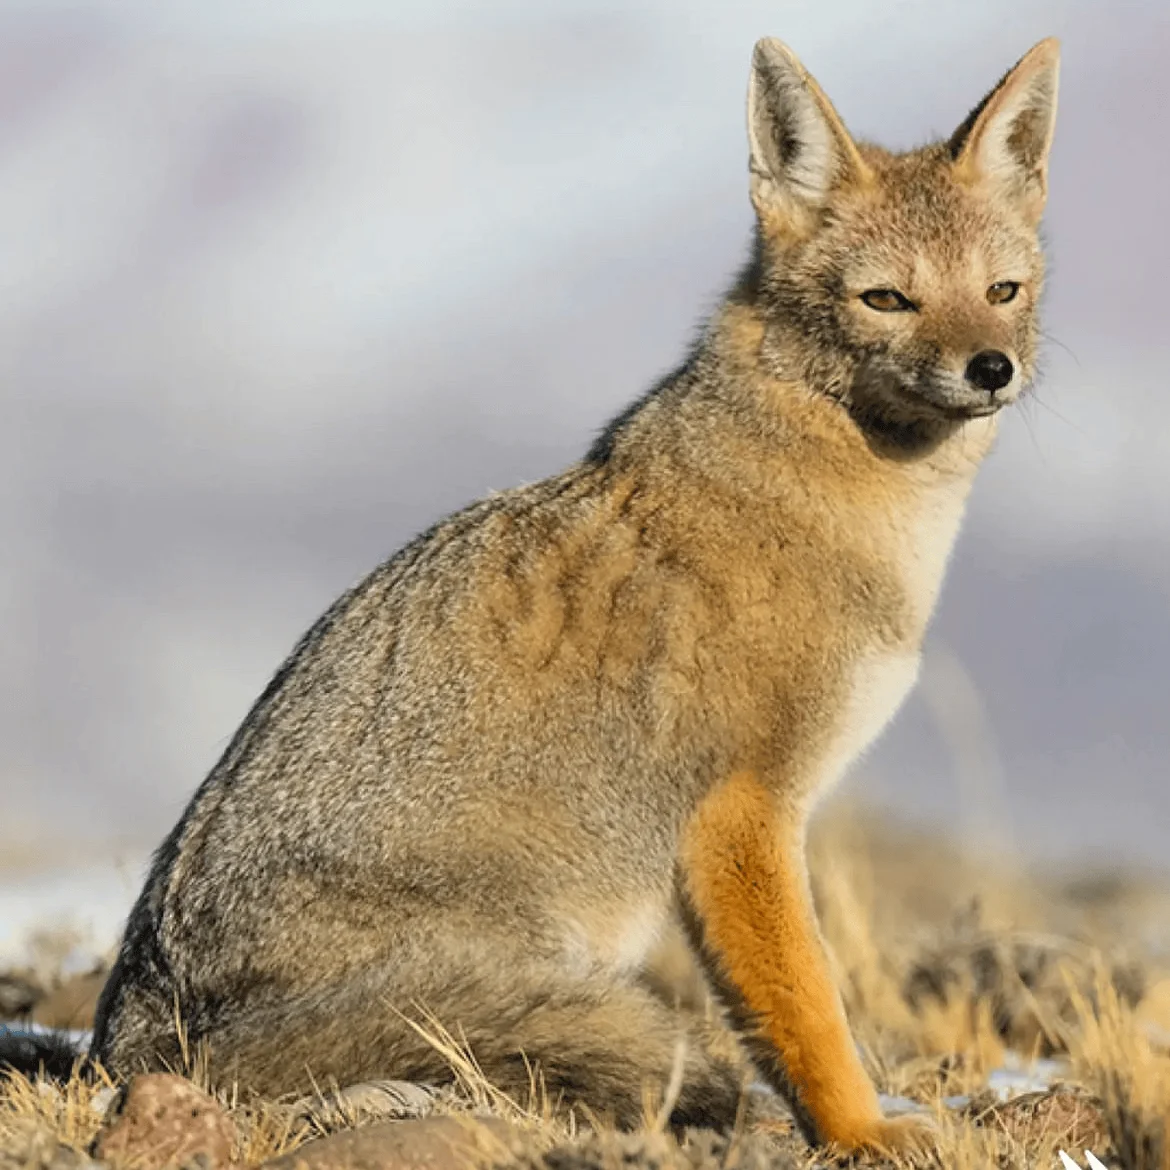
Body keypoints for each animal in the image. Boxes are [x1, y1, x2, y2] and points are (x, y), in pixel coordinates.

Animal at [15, 35, 1059, 1156]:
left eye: (1002, 289)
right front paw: (863, 1132)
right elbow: (809, 1010)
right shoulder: (742, 817)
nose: (991, 368)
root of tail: (131, 1042)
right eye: (886, 300)